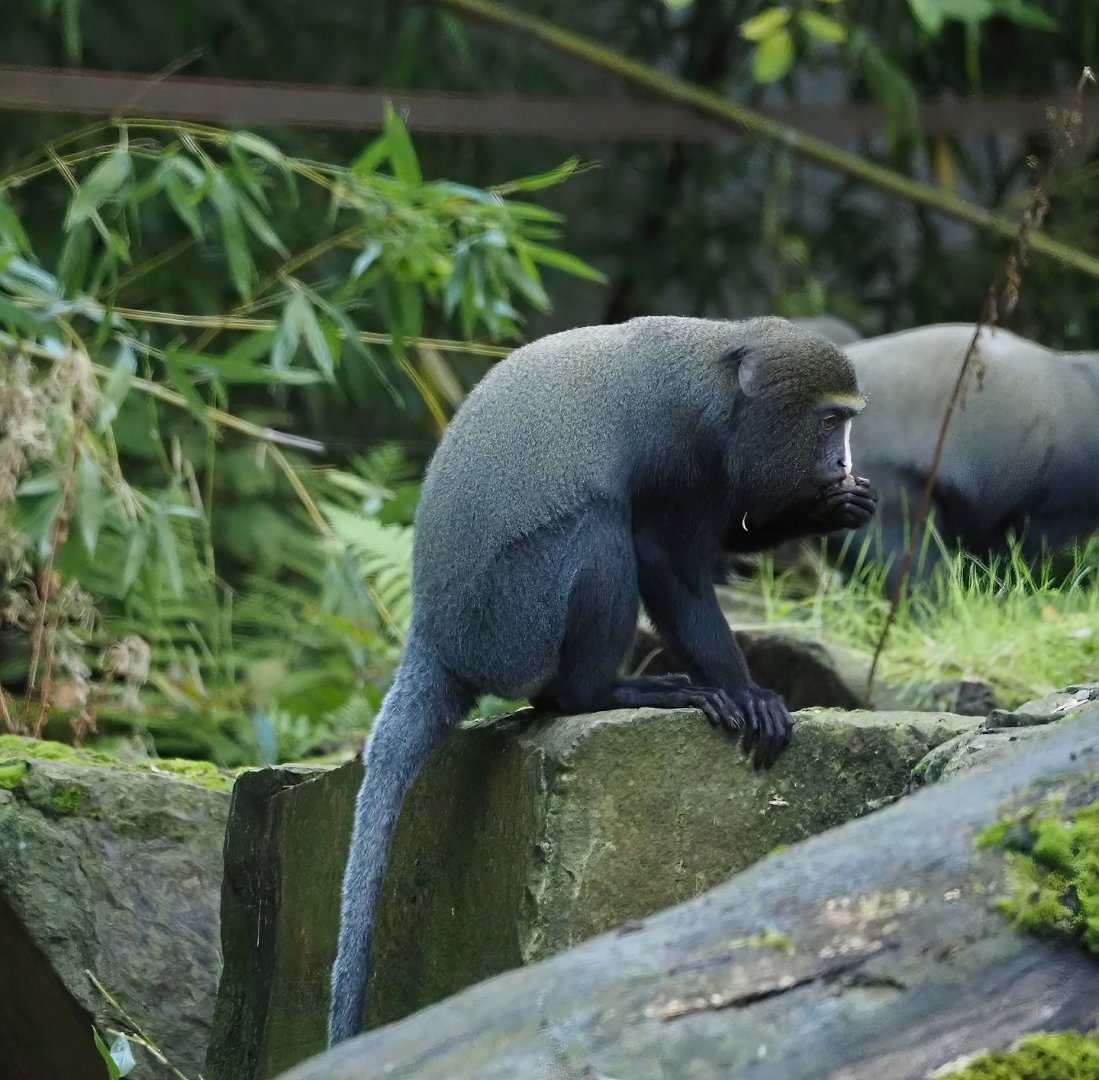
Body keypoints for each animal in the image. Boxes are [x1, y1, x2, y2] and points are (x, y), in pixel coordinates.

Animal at [327, 316, 876, 1046]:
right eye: (828, 421)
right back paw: (603, 693)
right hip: (515, 621)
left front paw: (828, 510)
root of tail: (437, 639)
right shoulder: (682, 456)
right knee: (599, 532)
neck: (717, 372)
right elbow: (666, 559)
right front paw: (747, 693)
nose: (841, 464)